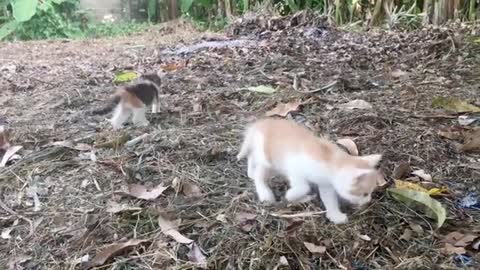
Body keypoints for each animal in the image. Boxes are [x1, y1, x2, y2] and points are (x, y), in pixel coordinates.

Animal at [236, 118, 382, 224]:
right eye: (365, 193)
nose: (368, 201)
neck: (330, 160)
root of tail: (259, 124)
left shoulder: (326, 184)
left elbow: (329, 200)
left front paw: (335, 215)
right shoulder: (295, 170)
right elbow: (303, 187)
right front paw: (291, 195)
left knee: (251, 157)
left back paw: (250, 172)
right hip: (268, 160)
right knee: (259, 175)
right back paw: (265, 193)